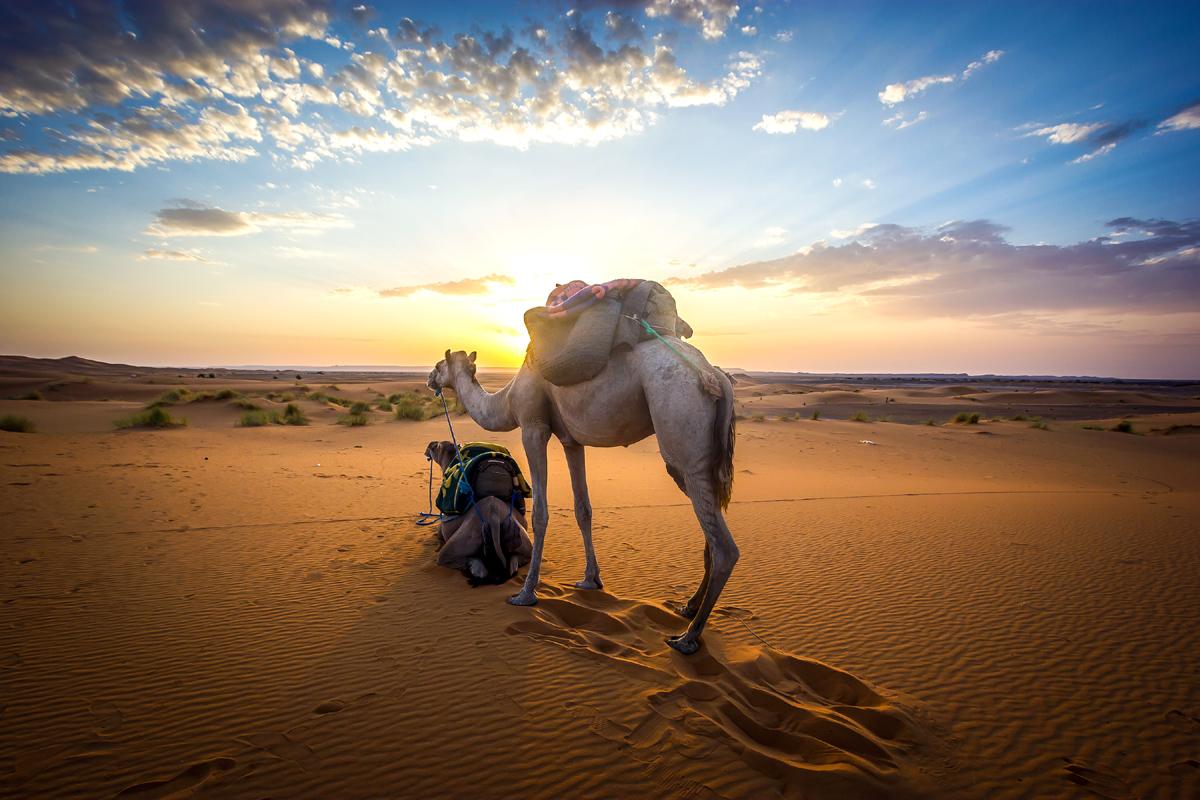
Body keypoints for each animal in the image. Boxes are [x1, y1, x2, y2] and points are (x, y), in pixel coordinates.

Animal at [427, 340, 734, 652]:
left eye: (439, 365)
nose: (430, 379)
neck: (507, 399)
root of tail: (715, 375)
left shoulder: (533, 427)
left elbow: (540, 513)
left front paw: (525, 593)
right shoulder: (570, 441)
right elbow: (582, 508)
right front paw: (590, 580)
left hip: (681, 426)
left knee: (723, 546)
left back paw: (688, 637)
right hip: (699, 459)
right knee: (711, 530)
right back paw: (689, 607)